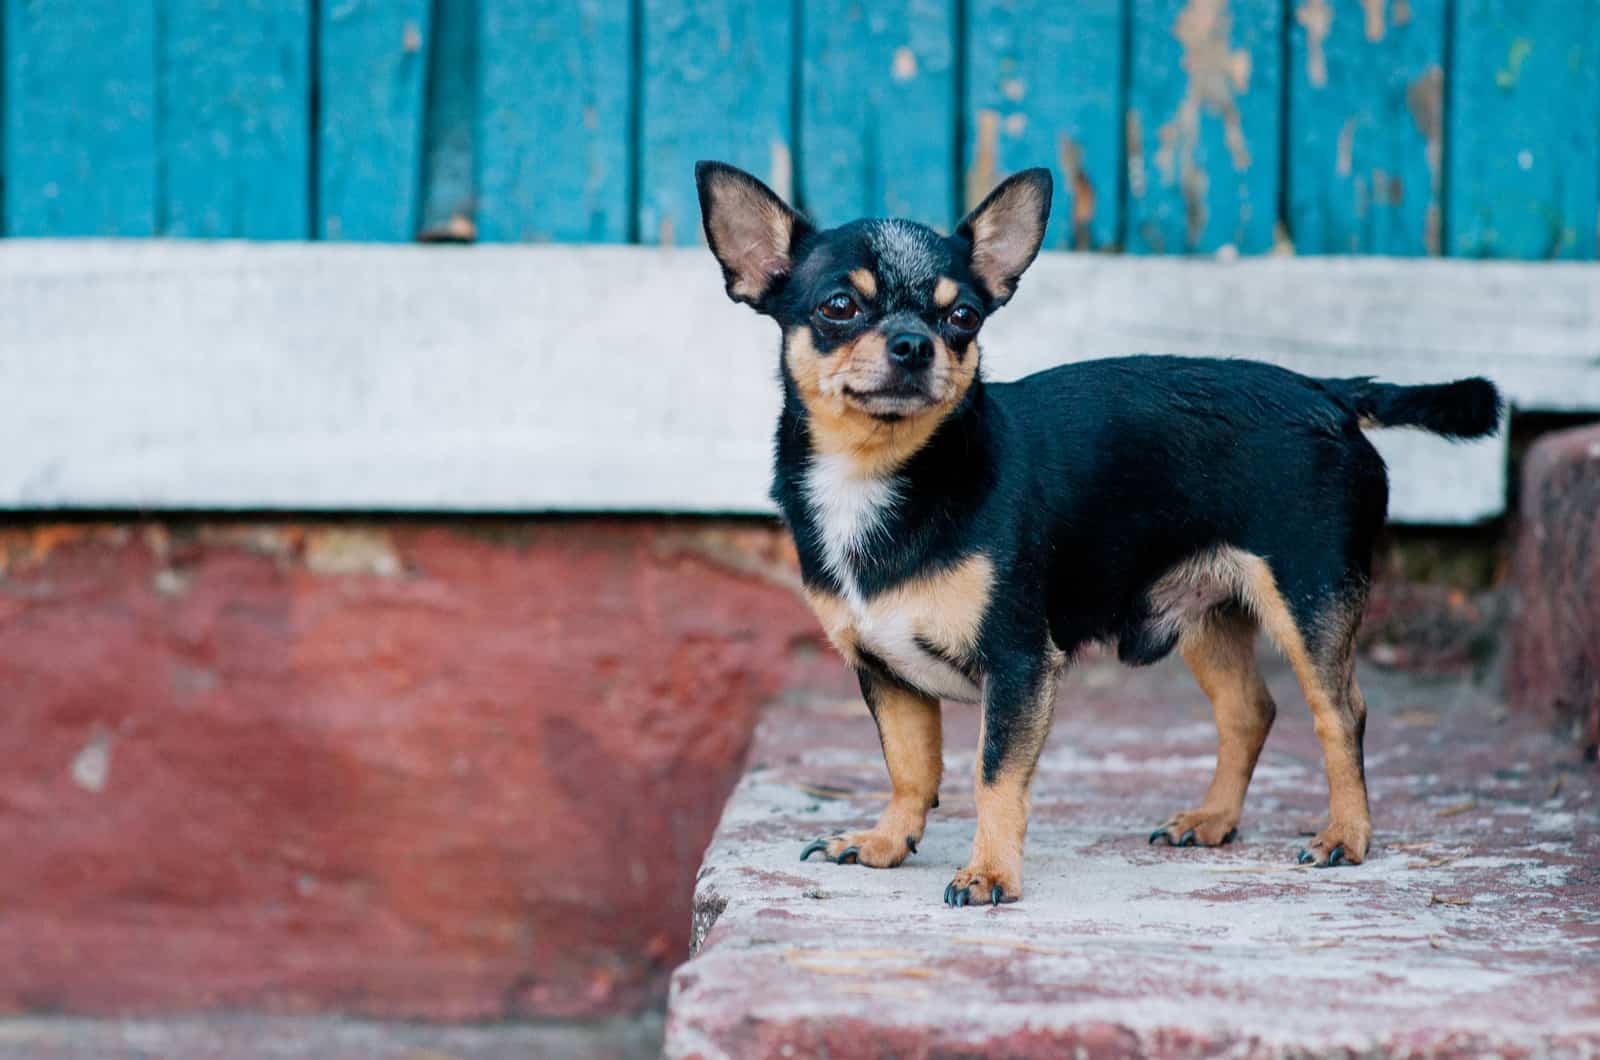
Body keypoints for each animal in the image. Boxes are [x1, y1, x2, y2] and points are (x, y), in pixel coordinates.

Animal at [697, 161, 1497, 909]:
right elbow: (910, 766)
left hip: (1308, 600)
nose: (914, 345)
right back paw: (1212, 820)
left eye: (965, 319)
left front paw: (989, 874)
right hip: (1210, 614)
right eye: (839, 306)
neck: (883, 474)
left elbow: (993, 776)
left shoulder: (1019, 665)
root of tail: (1324, 390)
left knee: (1340, 715)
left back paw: (1346, 835)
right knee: (1250, 711)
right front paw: (887, 841)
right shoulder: (885, 672)